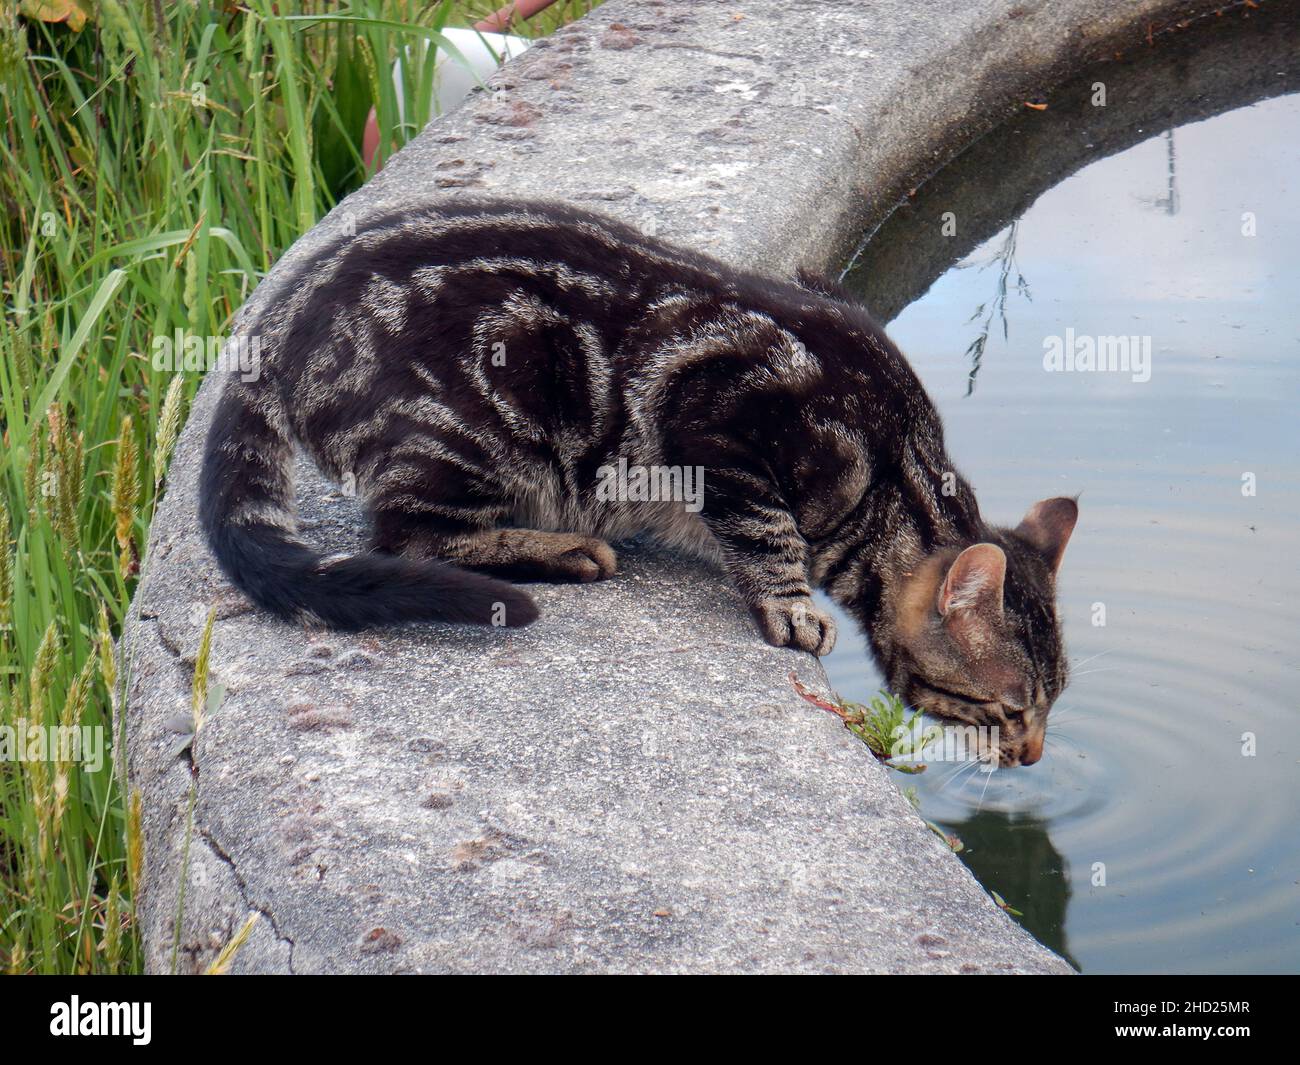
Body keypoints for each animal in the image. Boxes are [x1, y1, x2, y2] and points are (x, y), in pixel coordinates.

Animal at [202, 197, 1076, 764]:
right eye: (1012, 707)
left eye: (1054, 702)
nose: (1034, 755)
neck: (896, 471)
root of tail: (273, 327)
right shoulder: (713, 414)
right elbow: (766, 530)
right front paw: (792, 605)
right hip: (474, 430)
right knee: (409, 537)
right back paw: (560, 550)